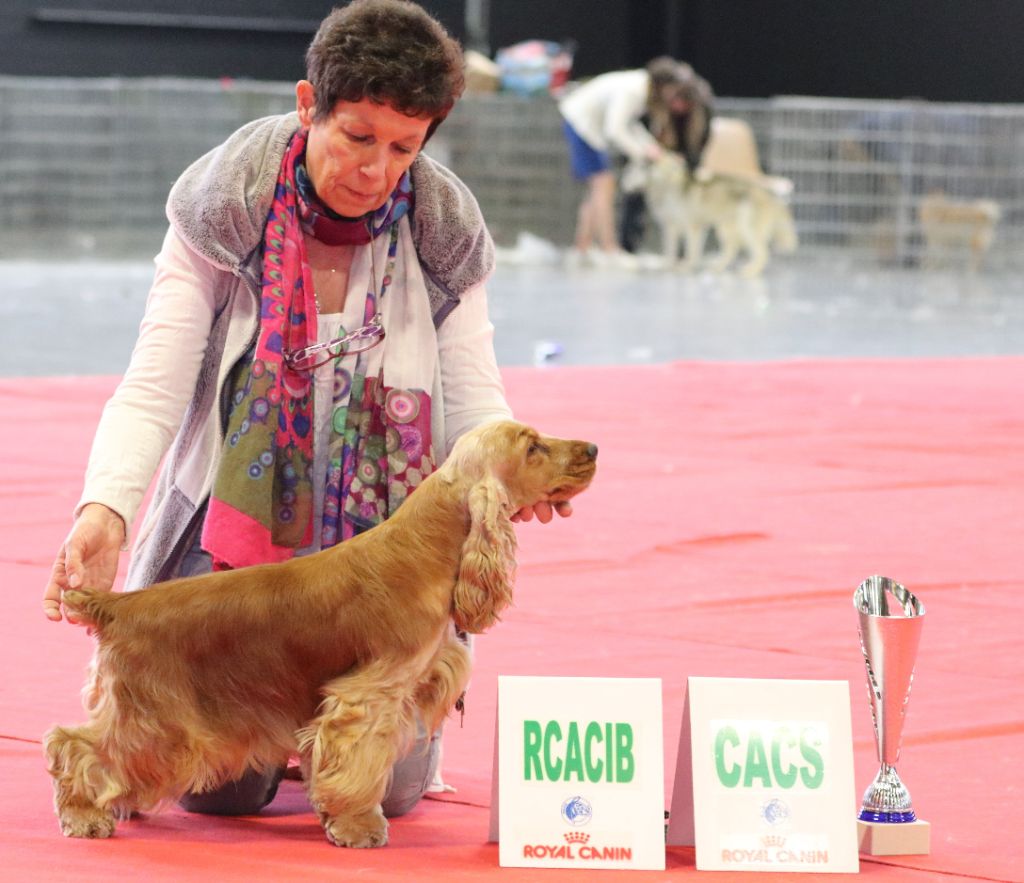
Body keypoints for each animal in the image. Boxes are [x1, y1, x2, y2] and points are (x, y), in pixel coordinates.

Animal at [44, 422, 598, 852]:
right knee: (74, 745)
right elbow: (357, 764)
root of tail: (117, 606)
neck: (426, 546)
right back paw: (84, 815)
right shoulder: (368, 694)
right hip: (161, 719)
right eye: (532, 448)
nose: (593, 448)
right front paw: (357, 826)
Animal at [638, 151, 798, 276]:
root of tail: (772, 196)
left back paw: (748, 272)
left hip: (747, 230)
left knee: (762, 254)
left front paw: (687, 267)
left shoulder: (693, 227)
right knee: (732, 249)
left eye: (660, 157)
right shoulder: (671, 228)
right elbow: (670, 251)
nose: (646, 157)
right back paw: (718, 267)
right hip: (725, 229)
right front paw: (669, 266)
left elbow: (691, 251)